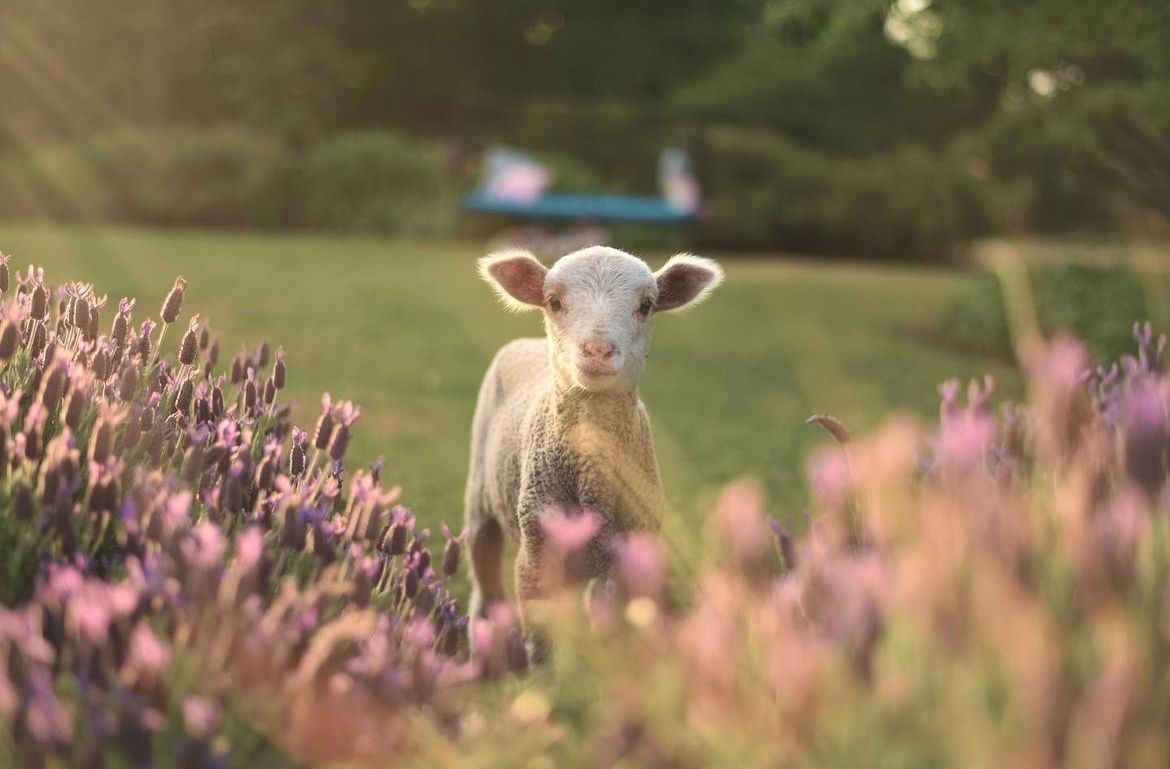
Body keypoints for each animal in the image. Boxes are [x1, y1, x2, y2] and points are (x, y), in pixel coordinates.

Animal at [463, 245, 720, 636]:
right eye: (553, 302)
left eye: (646, 305)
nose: (597, 350)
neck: (591, 477)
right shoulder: (534, 561)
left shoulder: (634, 555)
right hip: (480, 494)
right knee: (485, 587)